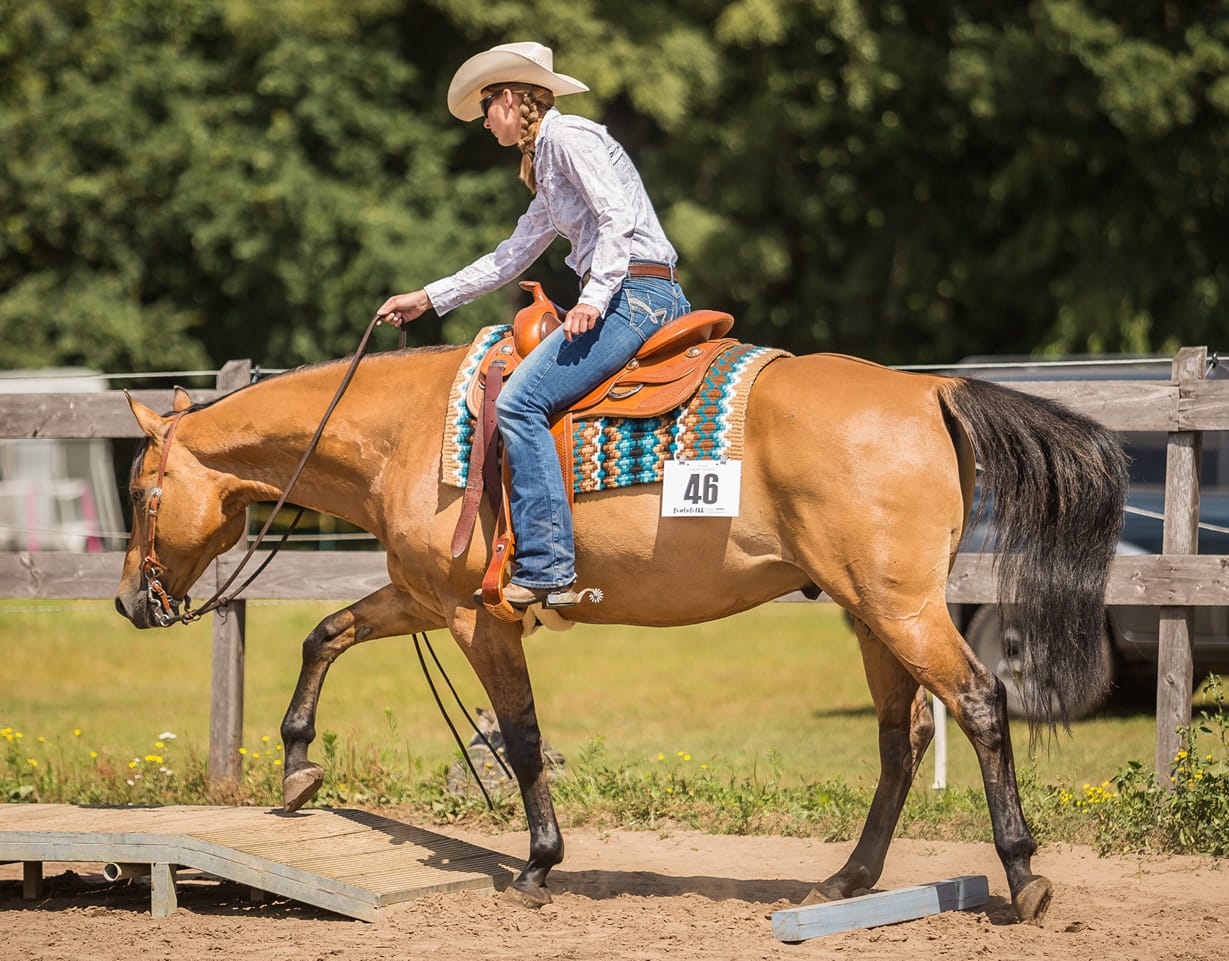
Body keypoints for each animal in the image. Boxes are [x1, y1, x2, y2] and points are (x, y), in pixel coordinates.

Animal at [113, 334, 1125, 924]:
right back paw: (845, 881)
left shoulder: (479, 616)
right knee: (902, 734)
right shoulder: (421, 596)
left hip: (899, 607)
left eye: (139, 489)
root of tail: (927, 393)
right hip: (874, 614)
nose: (128, 601)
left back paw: (1021, 875)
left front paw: (537, 865)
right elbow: (324, 632)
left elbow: (521, 737)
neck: (404, 429)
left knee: (980, 702)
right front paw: (296, 765)